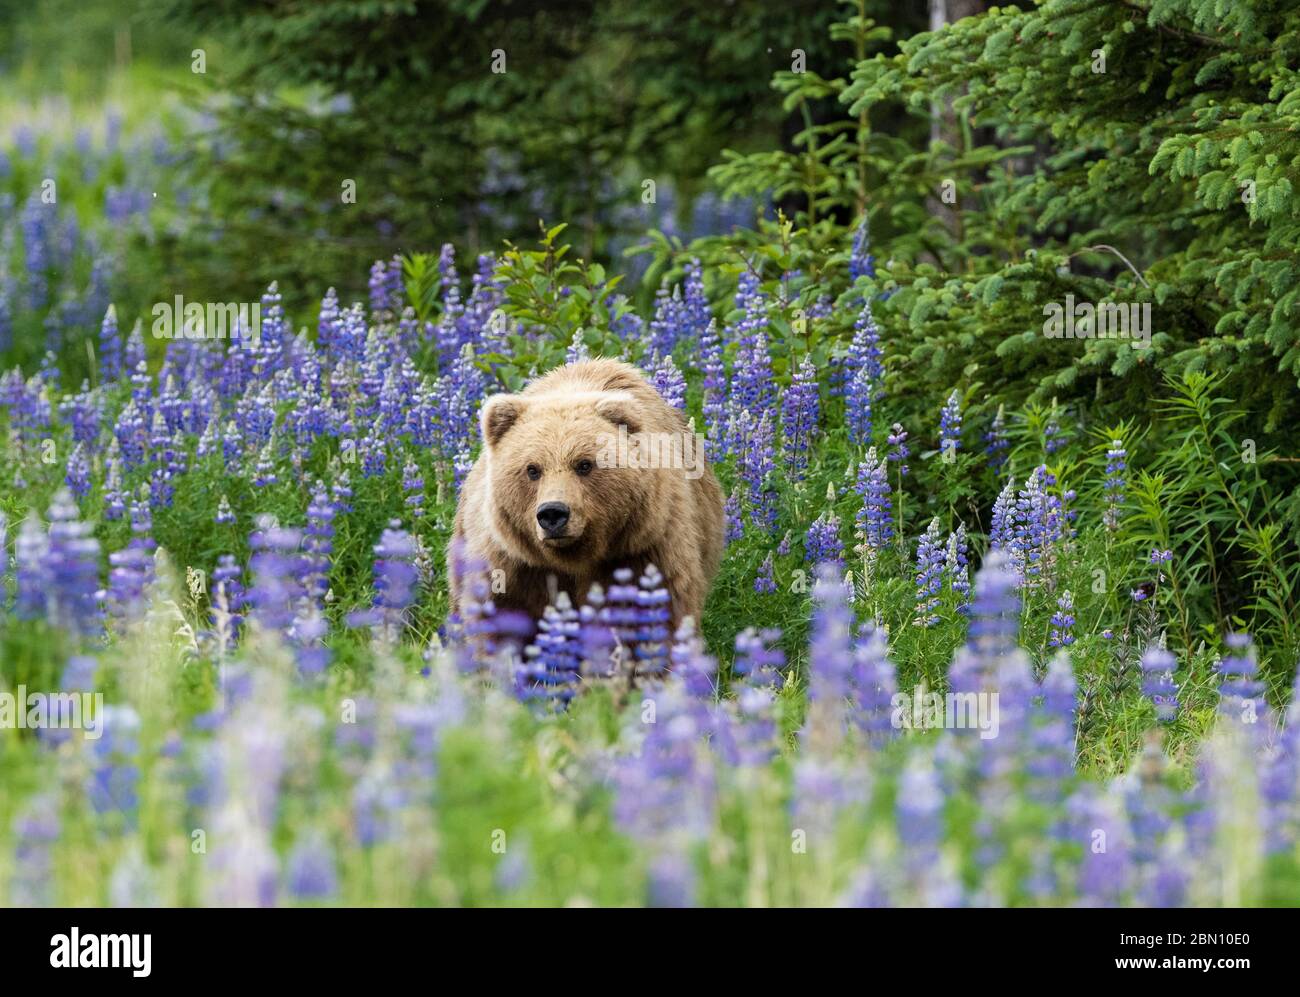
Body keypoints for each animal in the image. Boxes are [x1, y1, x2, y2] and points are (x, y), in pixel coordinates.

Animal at [452, 358, 728, 631]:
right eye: (532, 469)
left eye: (584, 464)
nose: (553, 513)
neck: (574, 559)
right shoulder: (513, 567)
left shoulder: (645, 550)